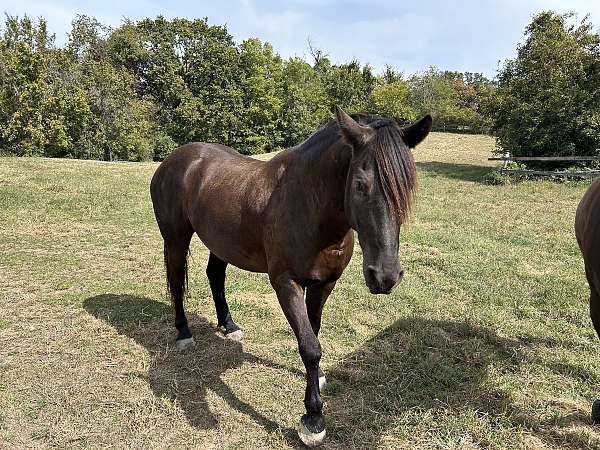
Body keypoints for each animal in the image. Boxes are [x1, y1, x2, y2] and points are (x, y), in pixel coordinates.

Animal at [150, 106, 432, 446]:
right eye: (360, 185)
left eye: (407, 187)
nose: (385, 276)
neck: (307, 205)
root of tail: (174, 159)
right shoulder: (286, 284)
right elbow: (309, 347)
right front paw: (313, 419)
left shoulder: (324, 283)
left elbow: (314, 332)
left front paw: (318, 380)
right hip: (176, 239)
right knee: (177, 281)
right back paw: (183, 332)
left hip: (221, 242)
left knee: (215, 275)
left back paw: (228, 325)